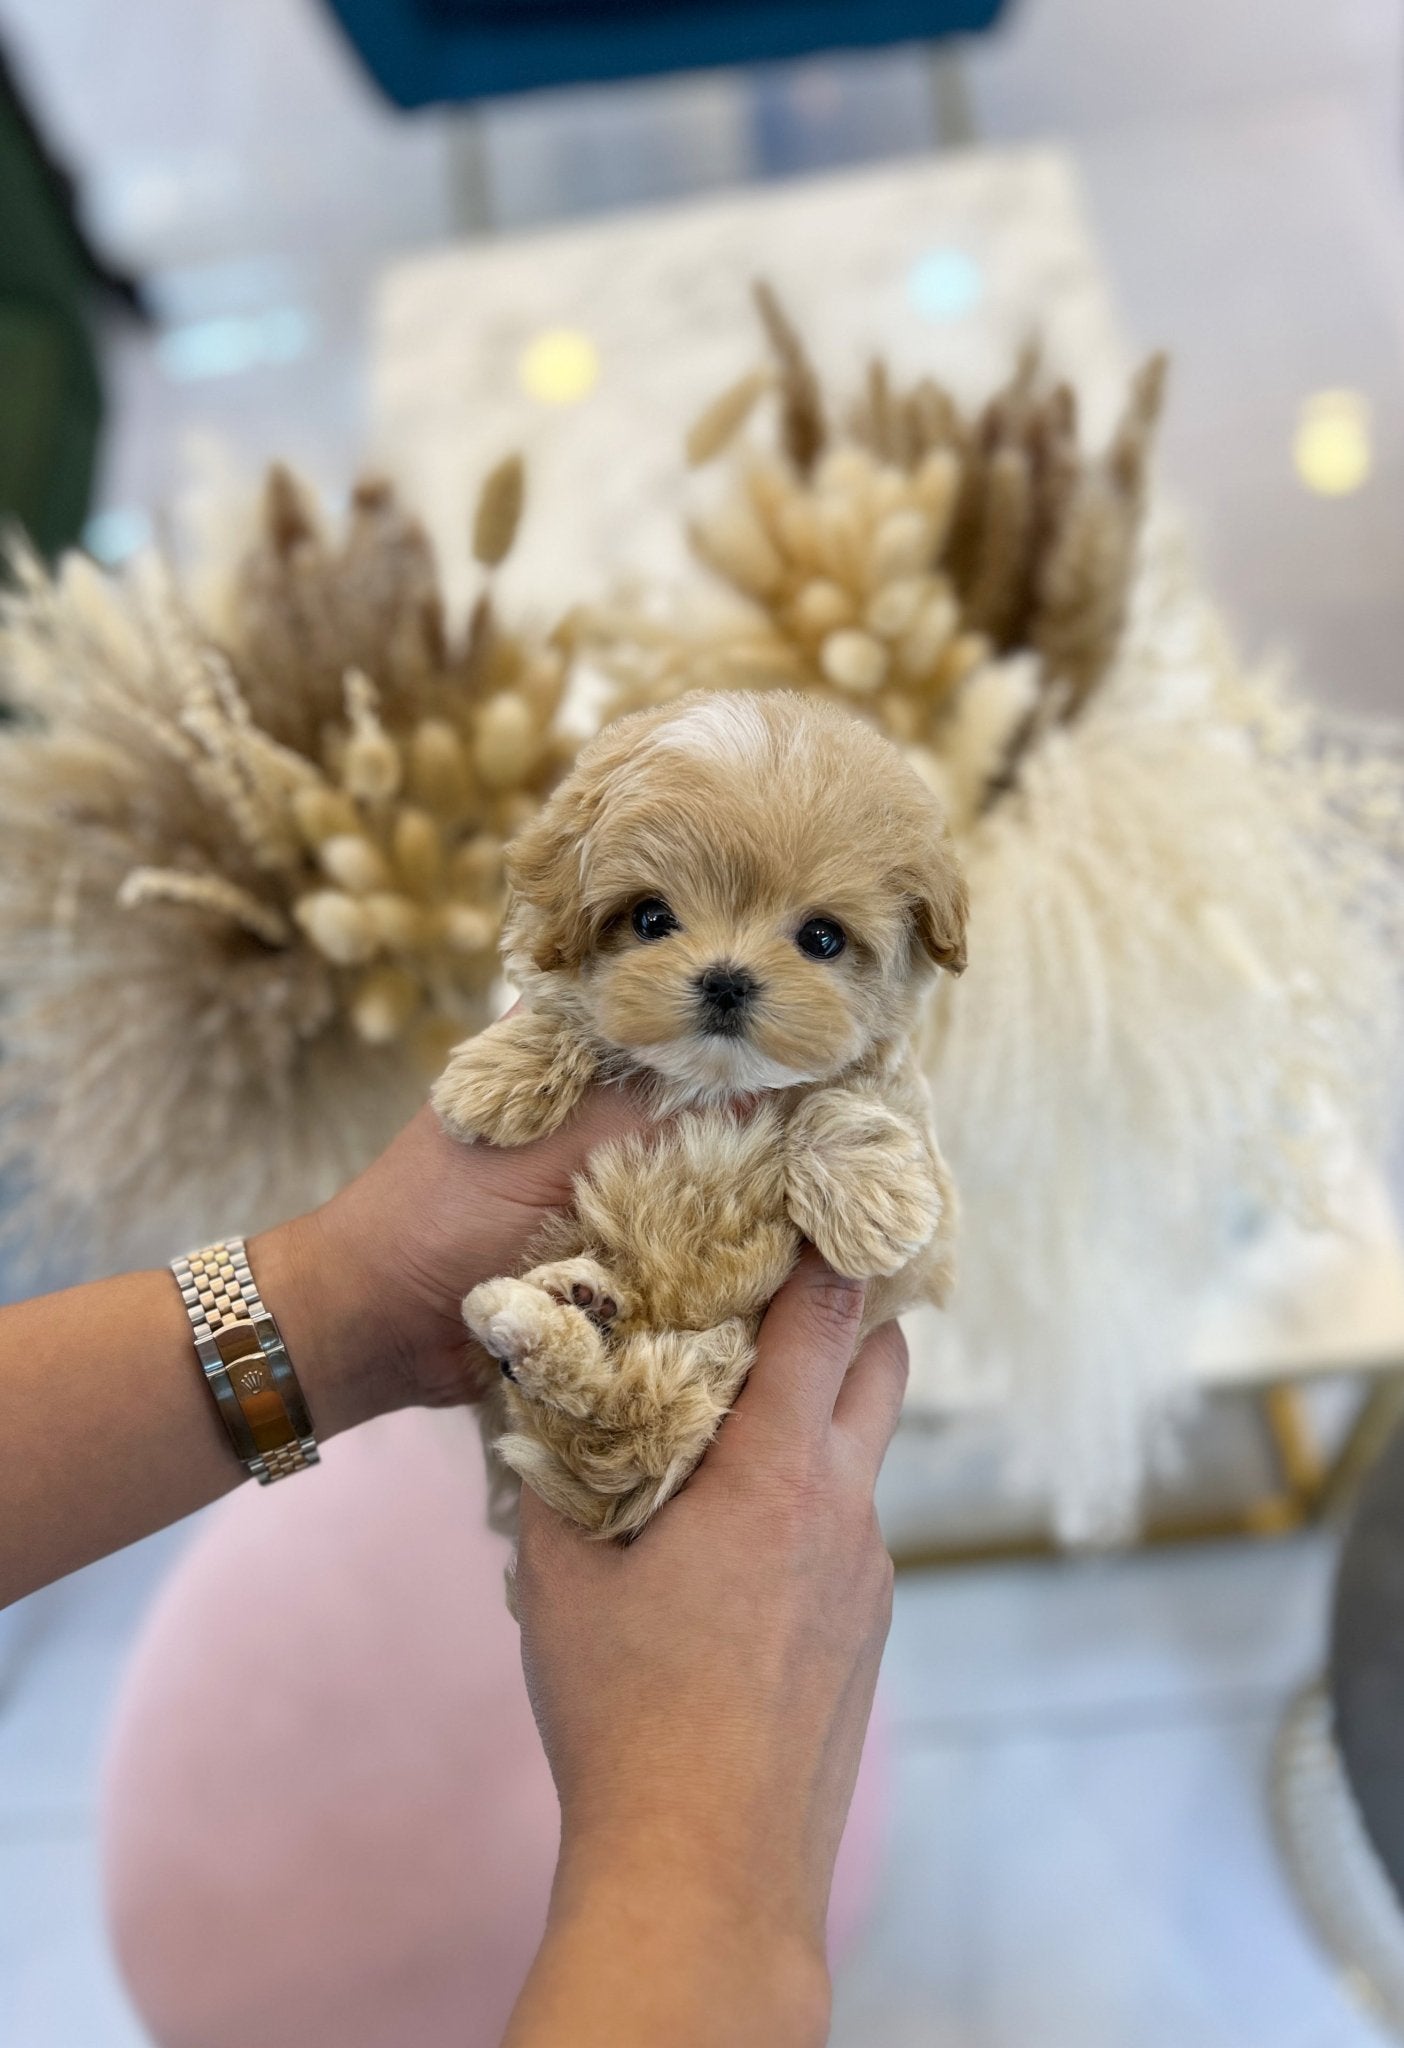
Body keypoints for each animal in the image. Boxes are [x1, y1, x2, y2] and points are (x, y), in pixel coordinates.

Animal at [433, 688, 974, 1540]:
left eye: (823, 937)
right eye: (652, 919)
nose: (726, 979)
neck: (711, 1085)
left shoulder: (928, 1227)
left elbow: (846, 1099)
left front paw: (870, 1202)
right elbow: (567, 1012)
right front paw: (497, 1072)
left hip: (719, 1366)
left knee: (628, 1415)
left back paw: (556, 1311)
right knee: (608, 1417)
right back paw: (551, 1306)